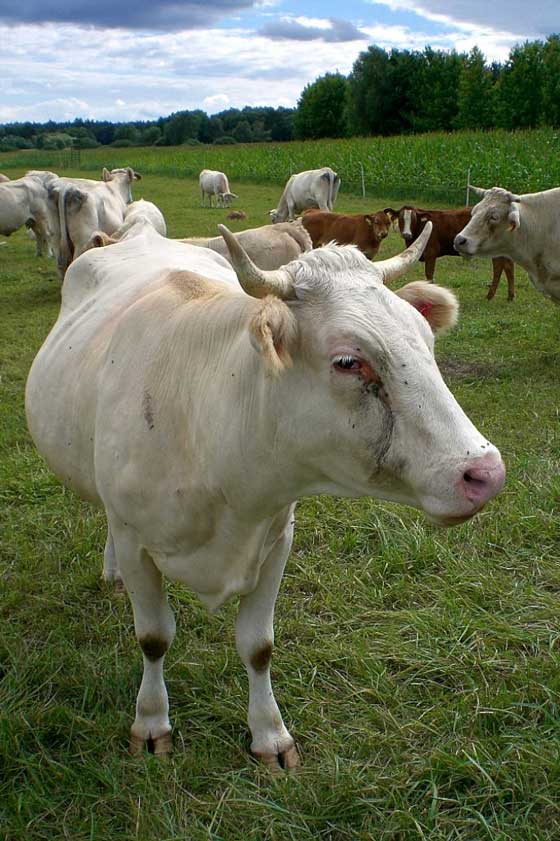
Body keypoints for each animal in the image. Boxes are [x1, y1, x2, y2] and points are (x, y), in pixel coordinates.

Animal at [25, 221, 505, 771]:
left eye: (426, 337)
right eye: (348, 361)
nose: (486, 472)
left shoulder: (277, 538)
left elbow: (258, 646)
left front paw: (270, 734)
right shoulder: (134, 539)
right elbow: (153, 638)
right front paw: (151, 722)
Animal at [385, 205, 516, 300]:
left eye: (413, 219)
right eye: (401, 219)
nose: (406, 234)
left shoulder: (431, 253)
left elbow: (429, 274)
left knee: (498, 267)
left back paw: (490, 295)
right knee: (508, 267)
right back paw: (510, 296)